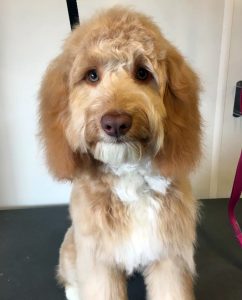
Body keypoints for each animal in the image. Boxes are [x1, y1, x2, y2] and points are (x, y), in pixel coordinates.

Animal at [39, 5, 201, 298]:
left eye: (142, 73)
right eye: (92, 75)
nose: (115, 123)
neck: (129, 172)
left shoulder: (170, 254)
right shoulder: (97, 259)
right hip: (72, 245)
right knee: (69, 274)